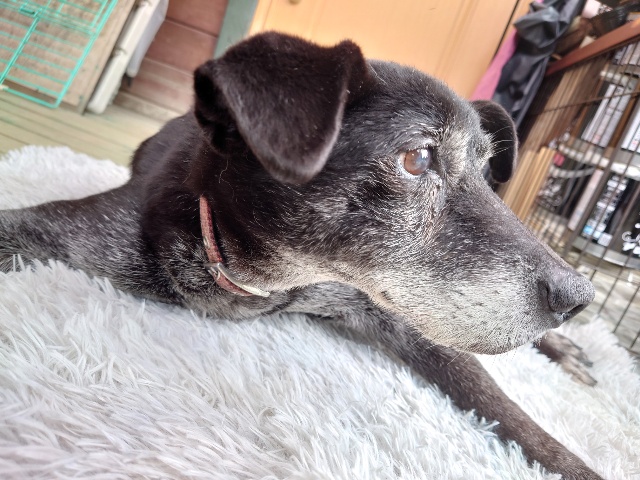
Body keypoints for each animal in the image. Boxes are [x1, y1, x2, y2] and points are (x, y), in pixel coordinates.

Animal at [0, 32, 601, 479]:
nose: (580, 295)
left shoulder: (395, 314)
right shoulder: (55, 230)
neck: (264, 280)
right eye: (417, 159)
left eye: (486, 174)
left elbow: (514, 415)